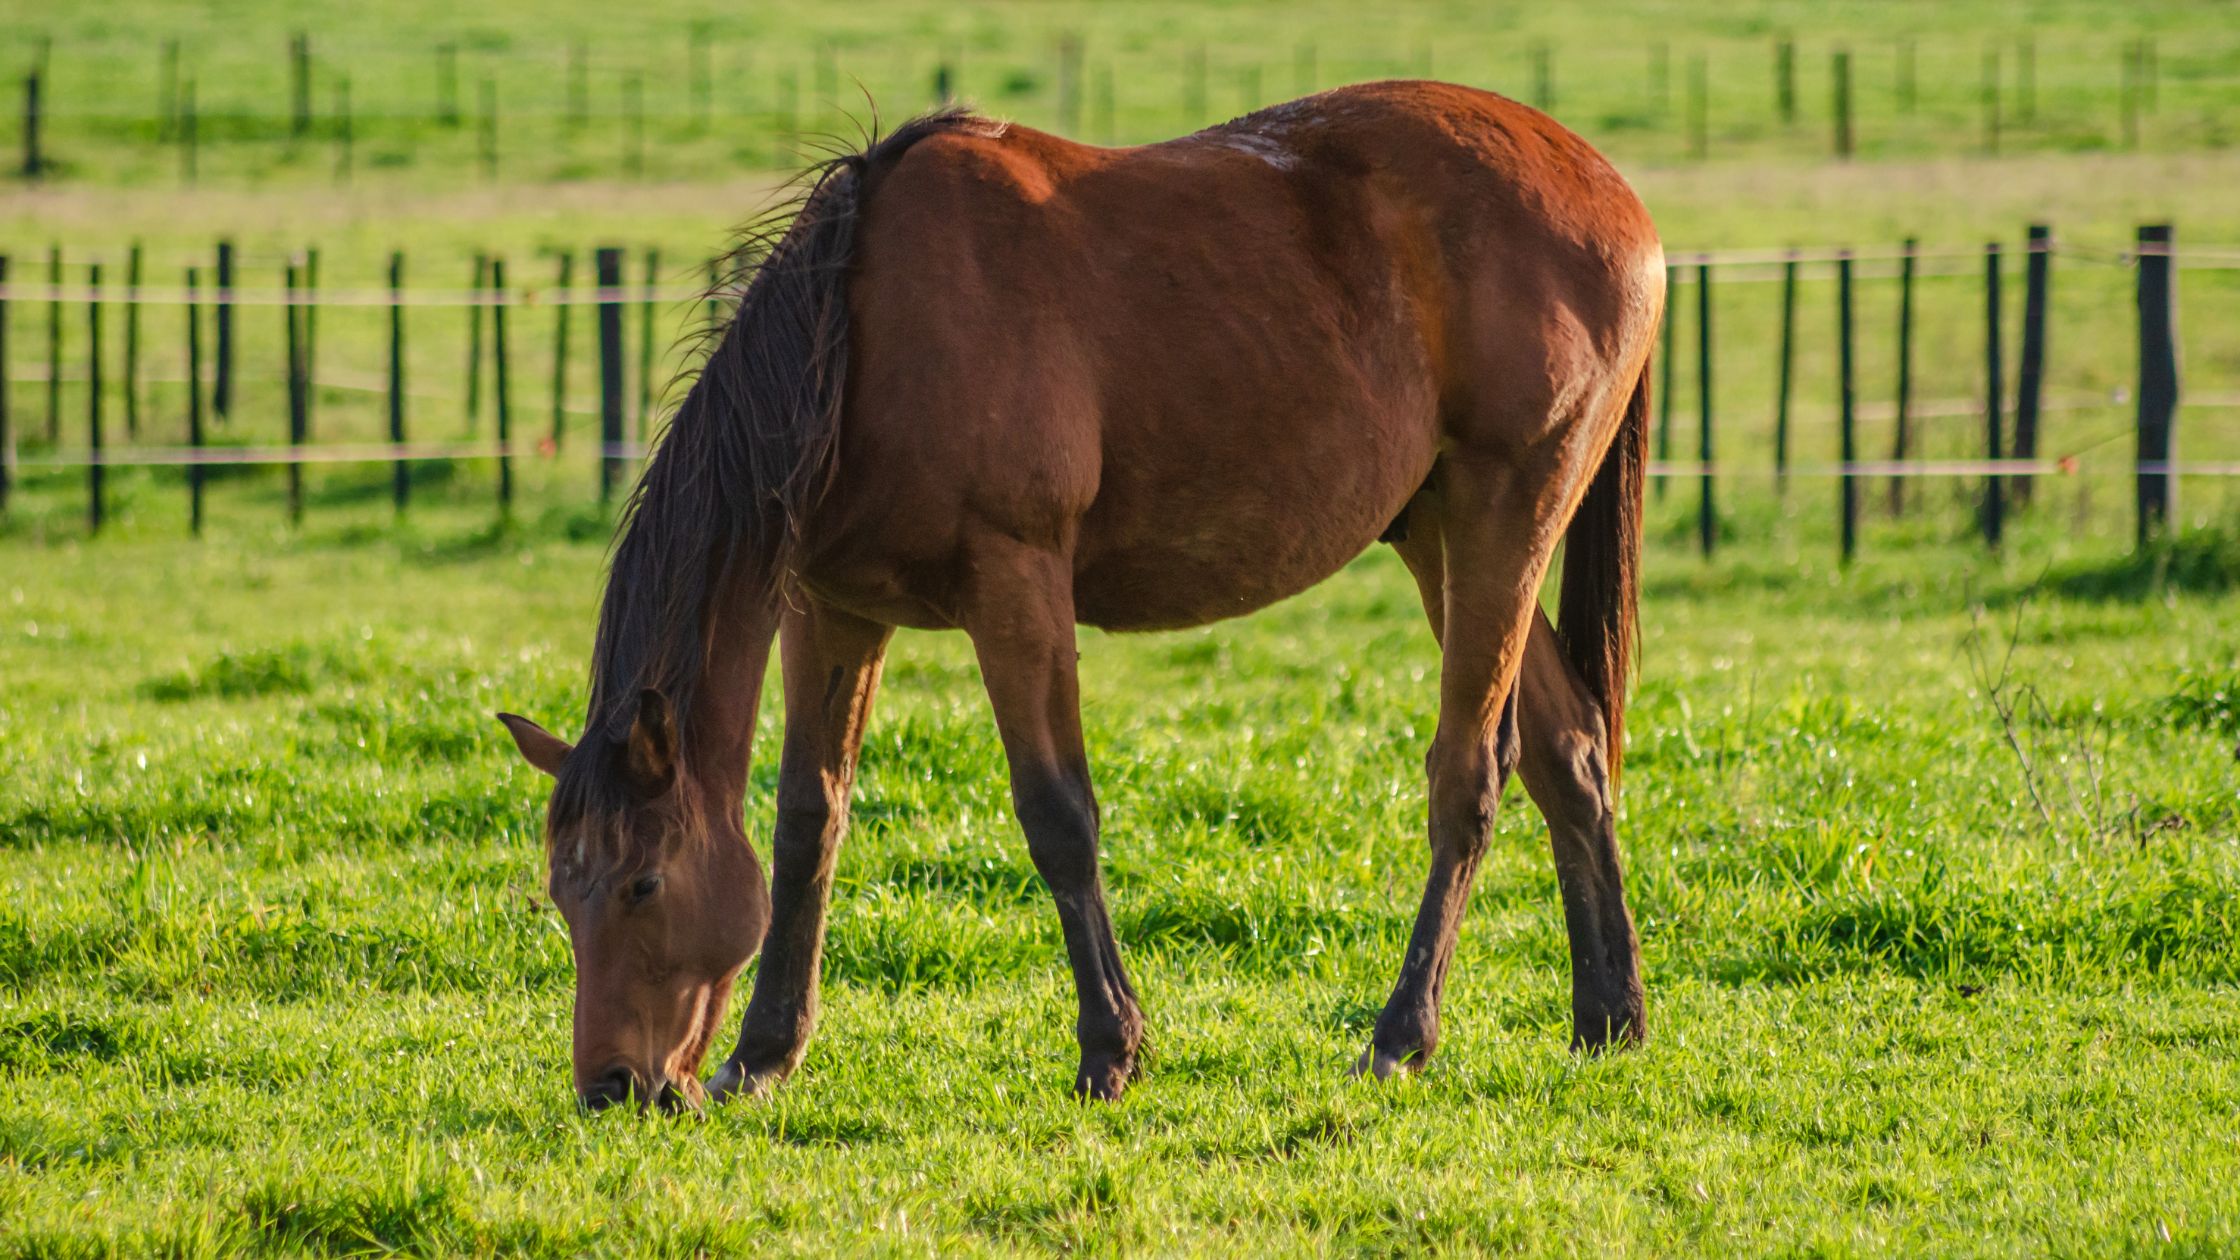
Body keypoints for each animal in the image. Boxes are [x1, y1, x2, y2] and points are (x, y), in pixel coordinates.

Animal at [498, 79, 1661, 1109]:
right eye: (562, 890)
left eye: (642, 884)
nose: (612, 1087)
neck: (860, 337)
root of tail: (1615, 198)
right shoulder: (832, 609)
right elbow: (804, 822)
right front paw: (764, 1054)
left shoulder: (1015, 584)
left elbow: (1057, 814)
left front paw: (1110, 1049)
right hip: (1437, 531)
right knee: (1567, 752)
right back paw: (1607, 1018)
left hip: (1506, 506)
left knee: (1471, 771)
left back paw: (1399, 1036)